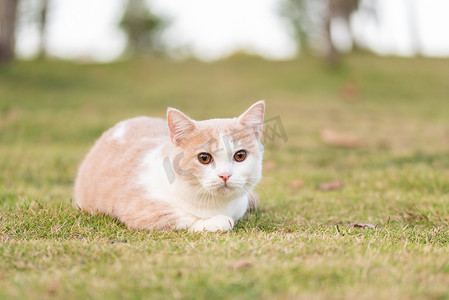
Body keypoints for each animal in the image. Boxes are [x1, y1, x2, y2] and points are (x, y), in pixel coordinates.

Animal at [73, 101, 262, 232]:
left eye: (240, 156)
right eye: (204, 158)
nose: (225, 175)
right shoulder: (138, 206)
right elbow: (180, 217)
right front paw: (214, 221)